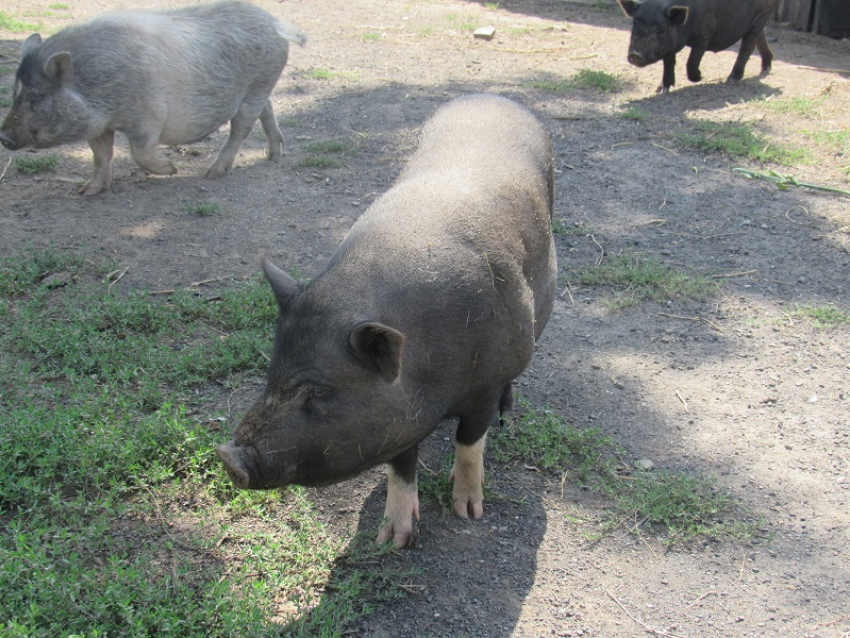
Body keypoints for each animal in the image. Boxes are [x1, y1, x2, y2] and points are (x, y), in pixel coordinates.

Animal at [0, 0, 304, 195]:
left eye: (37, 98)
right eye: (14, 93)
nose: (3, 136)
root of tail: (275, 23)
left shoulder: (148, 118)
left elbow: (139, 153)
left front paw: (172, 169)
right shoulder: (99, 125)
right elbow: (100, 155)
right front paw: (88, 191)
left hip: (257, 85)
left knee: (241, 129)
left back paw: (212, 173)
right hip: (259, 90)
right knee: (268, 108)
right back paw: (273, 156)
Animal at [212, 95, 556, 552]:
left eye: (319, 391)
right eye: (271, 374)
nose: (228, 457)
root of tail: (493, 97)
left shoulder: (485, 381)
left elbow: (470, 442)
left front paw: (468, 511)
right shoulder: (397, 416)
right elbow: (401, 466)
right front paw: (391, 539)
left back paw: (507, 413)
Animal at [612, 0, 780, 93]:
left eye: (660, 30)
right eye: (634, 26)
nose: (635, 55)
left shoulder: (703, 37)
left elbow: (691, 61)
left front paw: (700, 77)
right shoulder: (669, 44)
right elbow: (668, 63)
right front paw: (661, 90)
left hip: (760, 16)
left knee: (747, 47)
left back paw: (731, 80)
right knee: (761, 37)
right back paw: (765, 69)